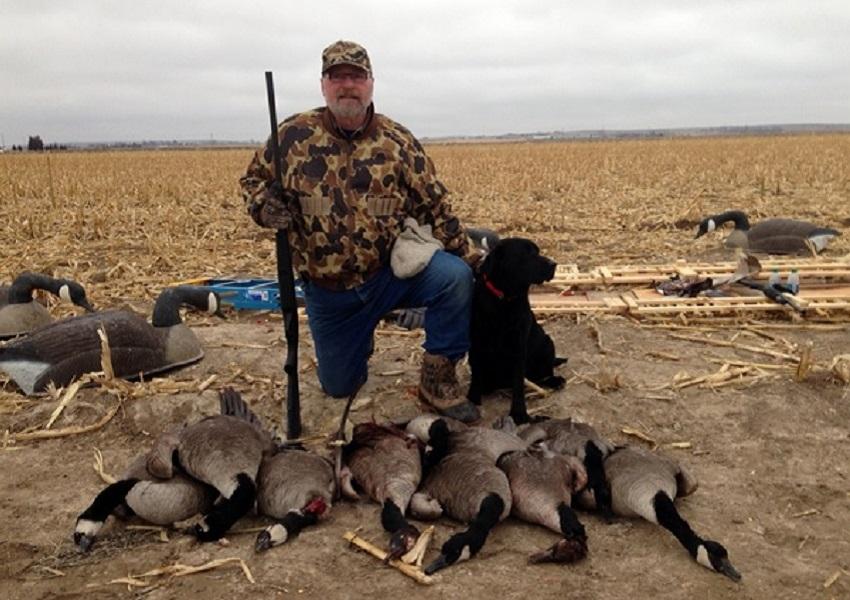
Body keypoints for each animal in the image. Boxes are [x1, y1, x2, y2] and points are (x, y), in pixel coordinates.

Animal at [468, 237, 568, 424]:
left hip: (547, 343)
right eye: (526, 254)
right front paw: (472, 399)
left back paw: (555, 380)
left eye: (537, 251)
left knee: (545, 371)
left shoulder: (518, 347)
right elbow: (475, 374)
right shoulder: (476, 343)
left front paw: (519, 414)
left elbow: (518, 384)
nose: (553, 264)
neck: (505, 300)